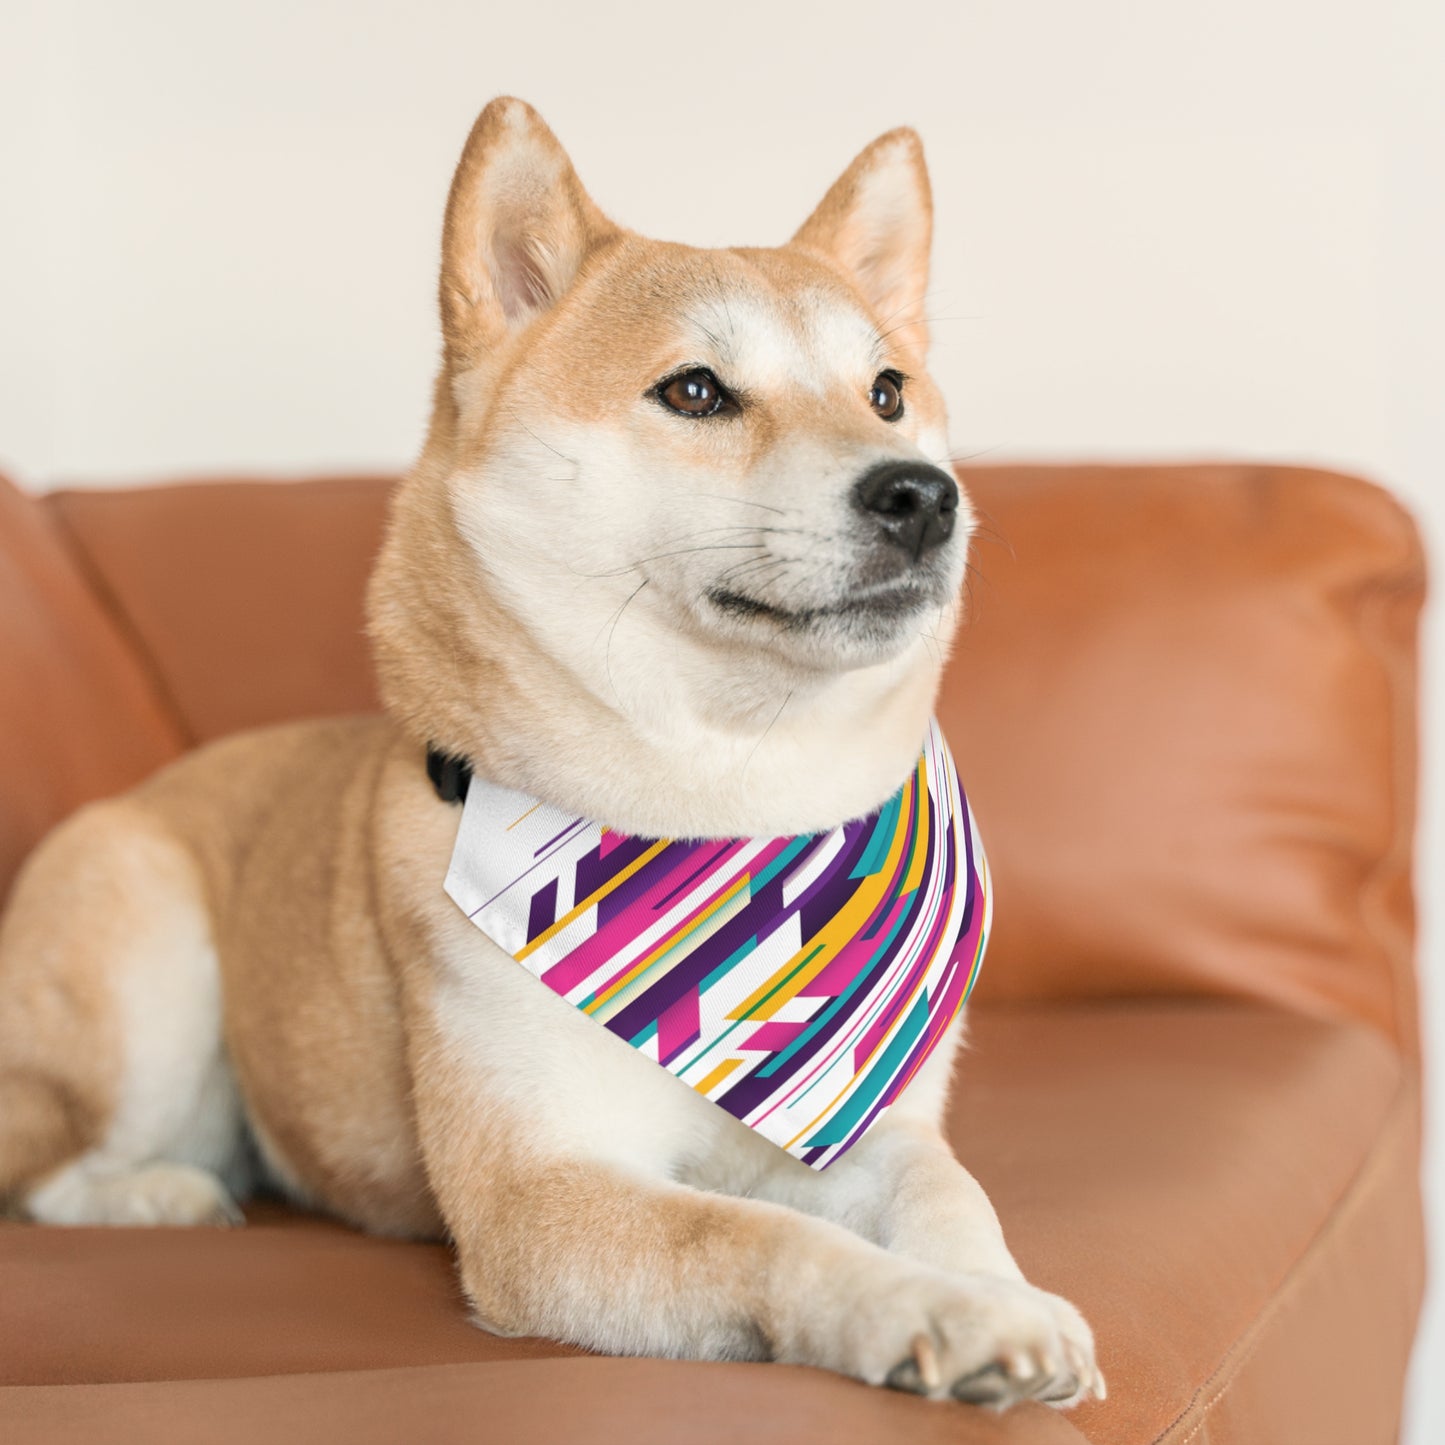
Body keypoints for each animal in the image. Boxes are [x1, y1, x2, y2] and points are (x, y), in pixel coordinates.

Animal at [0, 96, 1098, 1404]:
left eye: (886, 390)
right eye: (694, 391)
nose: (923, 494)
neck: (727, 805)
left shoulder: (873, 1123)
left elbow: (948, 1191)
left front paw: (1001, 1292)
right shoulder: (541, 1194)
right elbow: (764, 1236)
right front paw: (927, 1308)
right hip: (145, 965)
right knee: (48, 1167)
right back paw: (161, 1192)